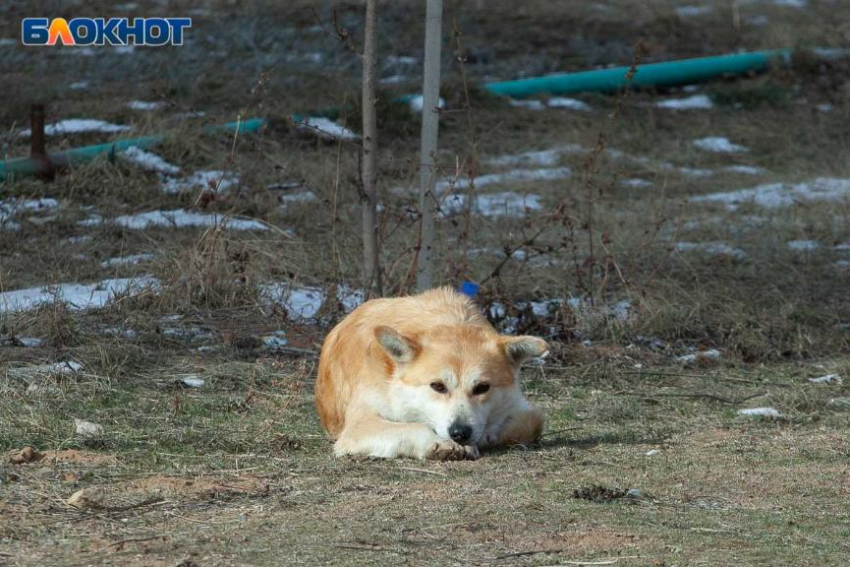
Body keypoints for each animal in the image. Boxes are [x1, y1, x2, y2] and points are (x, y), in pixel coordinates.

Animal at [314, 288, 548, 462]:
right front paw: (442, 443)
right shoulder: (358, 425)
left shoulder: (525, 411)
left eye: (482, 388)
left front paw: (484, 436)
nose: (460, 433)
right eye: (438, 386)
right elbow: (413, 427)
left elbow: (527, 424)